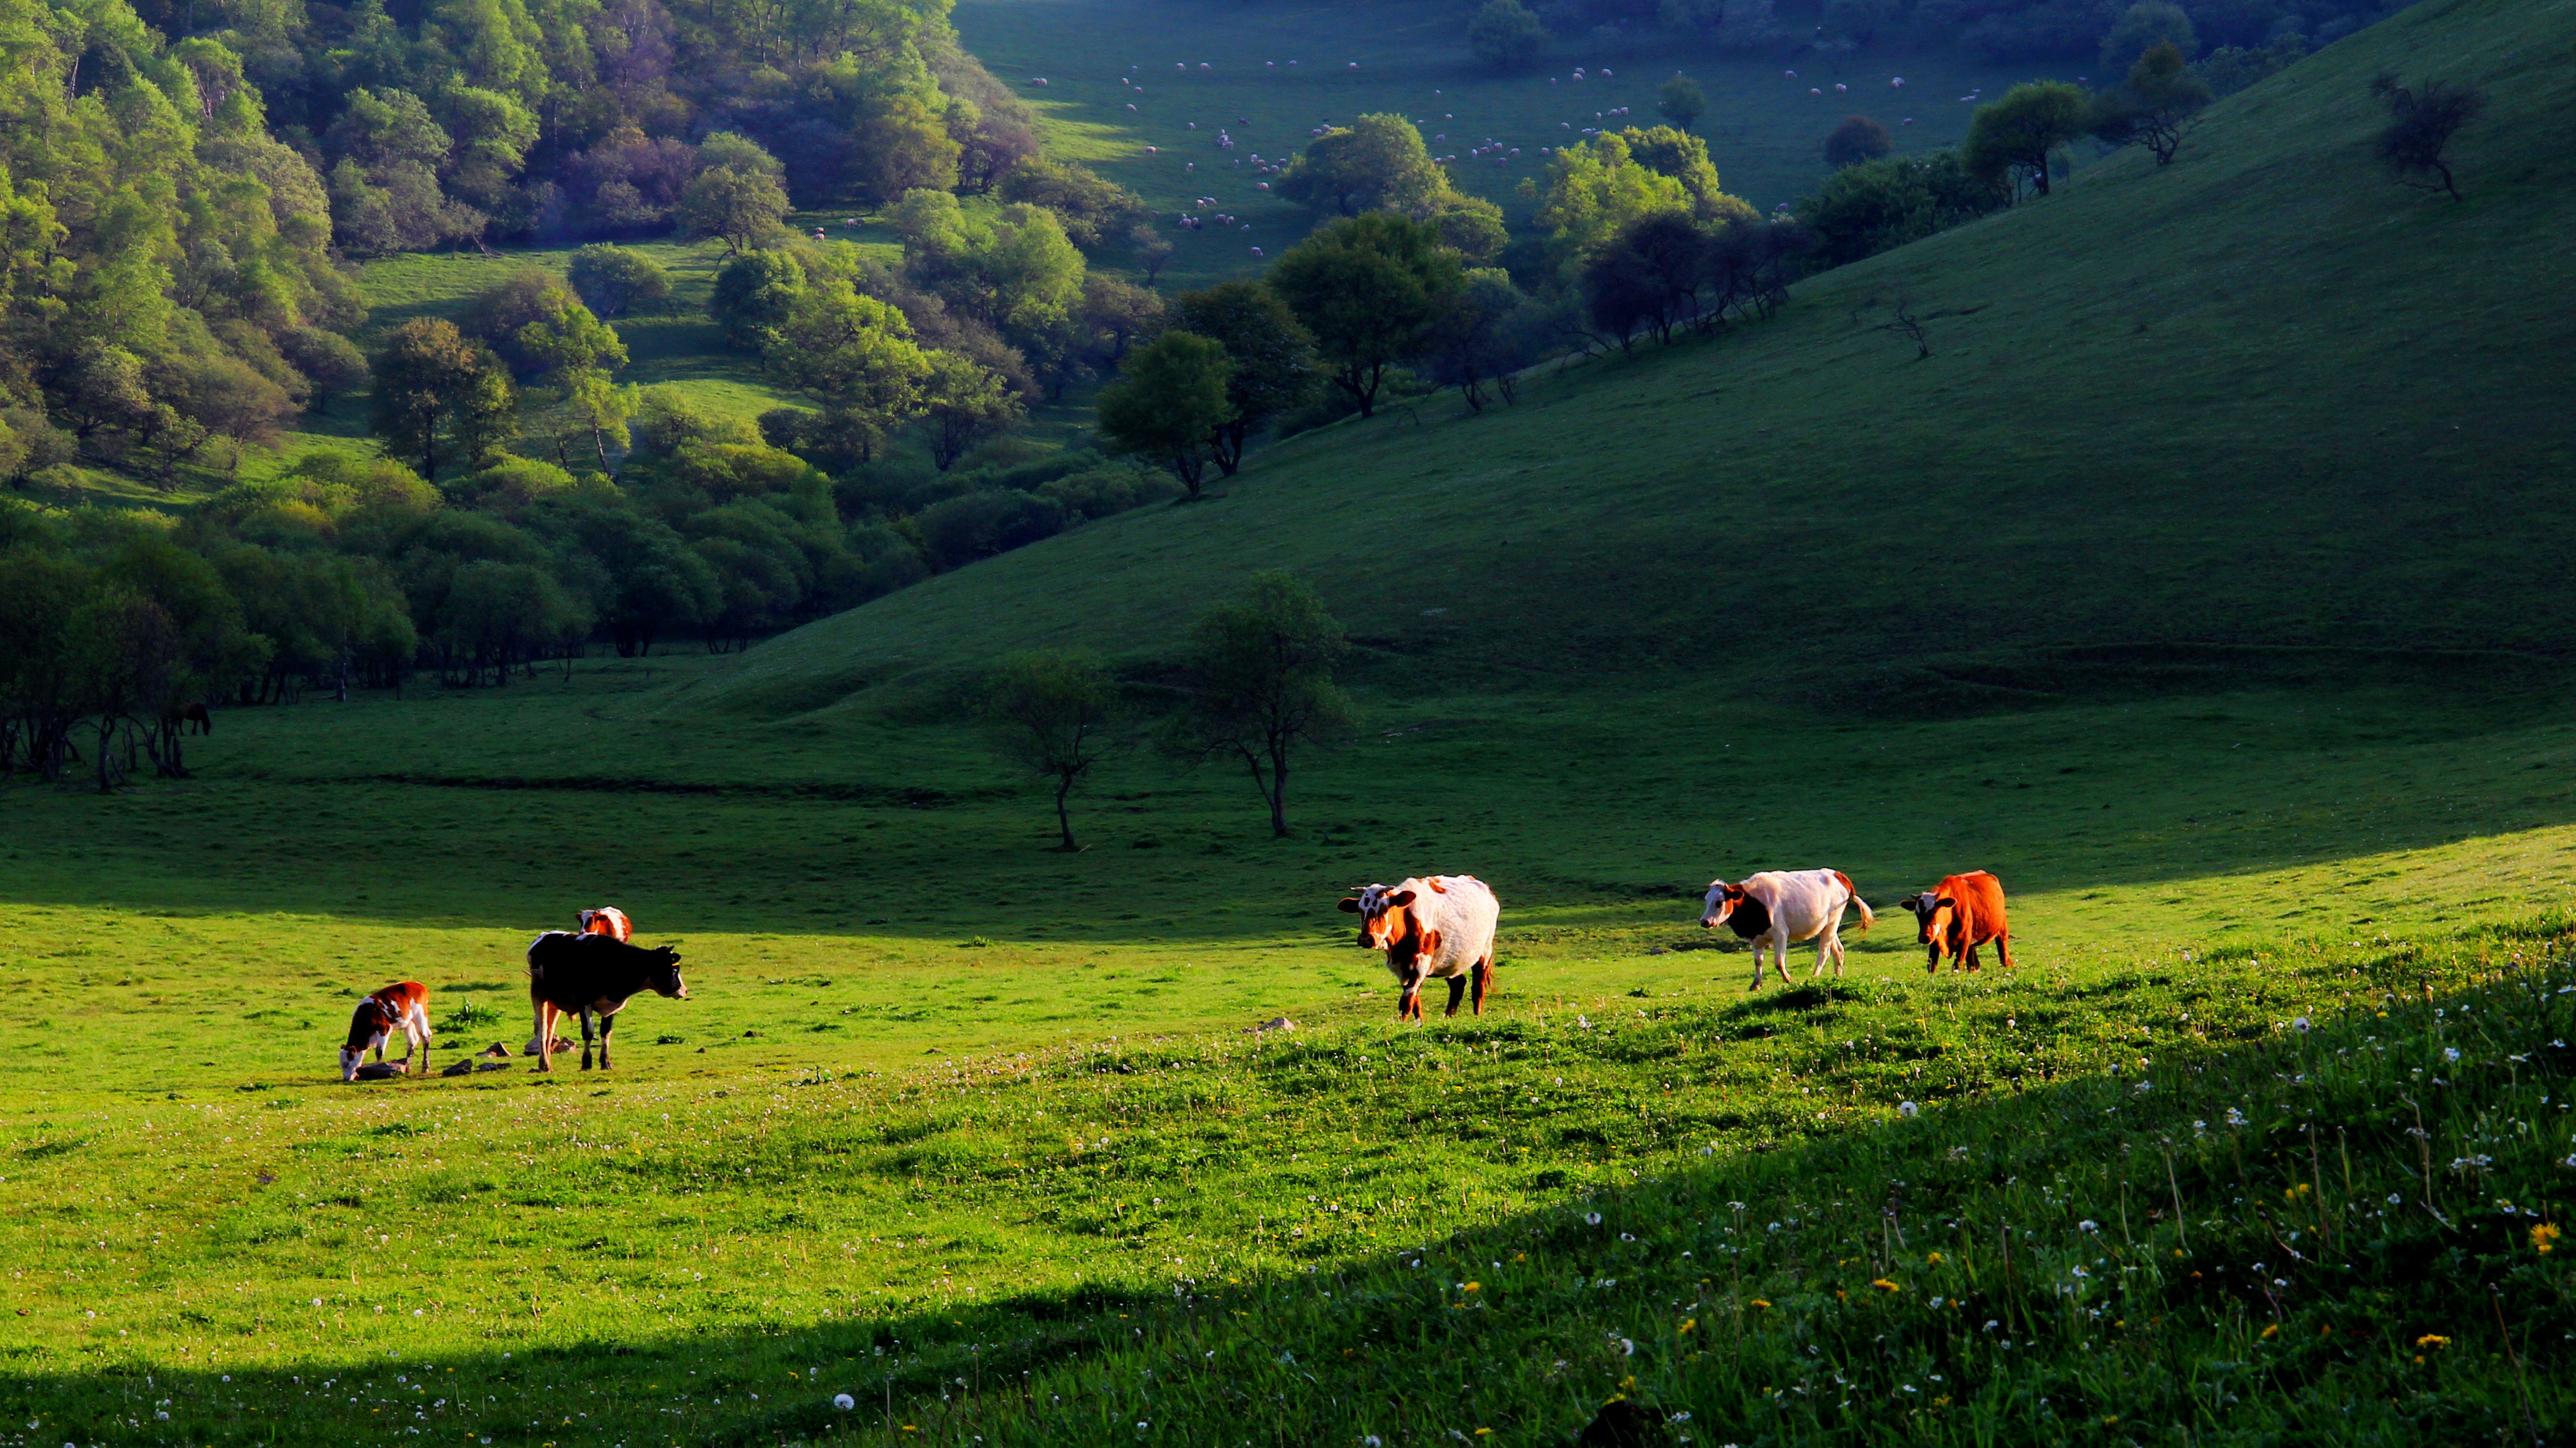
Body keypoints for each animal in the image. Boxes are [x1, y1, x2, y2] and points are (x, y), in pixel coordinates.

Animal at [347, 974, 438, 1077]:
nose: (347, 1078)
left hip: (420, 1015)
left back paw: (425, 1068)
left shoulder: (384, 1029)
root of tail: (420, 985)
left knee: (425, 1037)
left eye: (348, 1062)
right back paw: (408, 1068)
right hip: (408, 1022)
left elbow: (379, 1052)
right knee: (413, 1040)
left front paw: (377, 1068)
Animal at [525, 927, 690, 1067]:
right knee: (542, 1027)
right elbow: (588, 1032)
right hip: (538, 994)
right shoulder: (584, 1002)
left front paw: (606, 1062)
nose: (685, 990)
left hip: (555, 1002)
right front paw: (587, 1063)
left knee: (550, 1029)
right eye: (674, 969)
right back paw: (544, 1064)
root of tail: (545, 936)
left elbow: (606, 1031)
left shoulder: (612, 1006)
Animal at [1339, 865, 1504, 1015]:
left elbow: (1407, 1002)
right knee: (1458, 984)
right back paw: (1449, 1017)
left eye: (1384, 909)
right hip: (1450, 957)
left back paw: (1477, 1015)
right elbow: (1415, 1003)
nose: (1366, 939)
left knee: (1478, 987)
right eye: (1360, 910)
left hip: (1485, 952)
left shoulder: (1421, 964)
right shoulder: (1400, 967)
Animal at [1710, 861, 1875, 984]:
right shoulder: (1755, 938)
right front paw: (1756, 984)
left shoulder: (1781, 933)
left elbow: (1779, 962)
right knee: (1838, 950)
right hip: (1829, 925)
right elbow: (1758, 961)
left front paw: (1788, 979)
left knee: (1824, 952)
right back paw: (1838, 976)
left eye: (1719, 903)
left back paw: (1815, 976)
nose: (1705, 921)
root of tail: (1838, 875)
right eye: (1707, 900)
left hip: (1833, 921)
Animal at [1896, 865, 2009, 968]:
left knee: (2004, 957)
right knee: (1973, 965)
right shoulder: (1935, 941)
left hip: (2001, 930)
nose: (1924, 938)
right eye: (1917, 913)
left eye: (1935, 911)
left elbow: (1957, 967)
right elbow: (1932, 966)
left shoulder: (1964, 941)